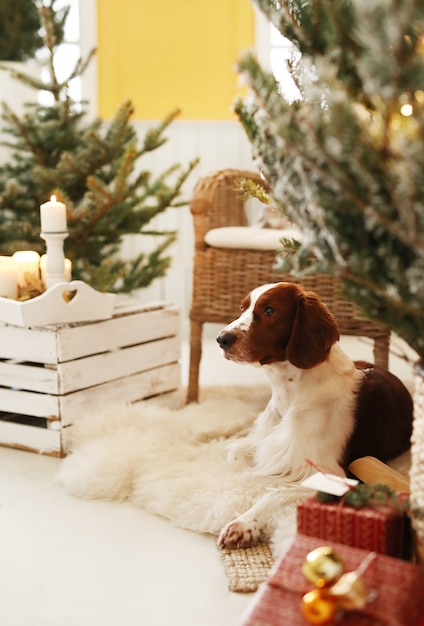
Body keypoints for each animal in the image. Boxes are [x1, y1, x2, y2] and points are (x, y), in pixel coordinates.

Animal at [215, 282, 410, 544]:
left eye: (269, 310)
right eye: (242, 308)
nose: (221, 339)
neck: (290, 393)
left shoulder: (335, 474)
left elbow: (274, 493)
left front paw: (244, 523)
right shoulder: (265, 443)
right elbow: (239, 458)